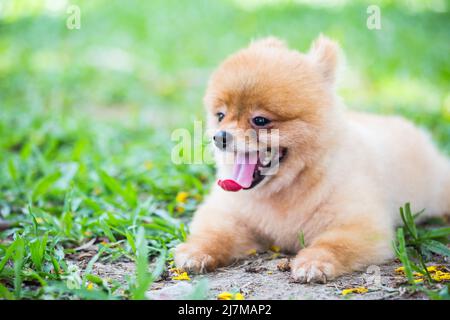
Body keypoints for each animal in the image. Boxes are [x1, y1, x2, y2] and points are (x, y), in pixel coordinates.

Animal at [175, 36, 450, 284]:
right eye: (221, 116)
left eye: (260, 120)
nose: (220, 136)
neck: (283, 192)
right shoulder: (231, 215)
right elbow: (215, 234)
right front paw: (195, 252)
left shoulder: (360, 227)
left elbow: (332, 244)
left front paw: (313, 263)